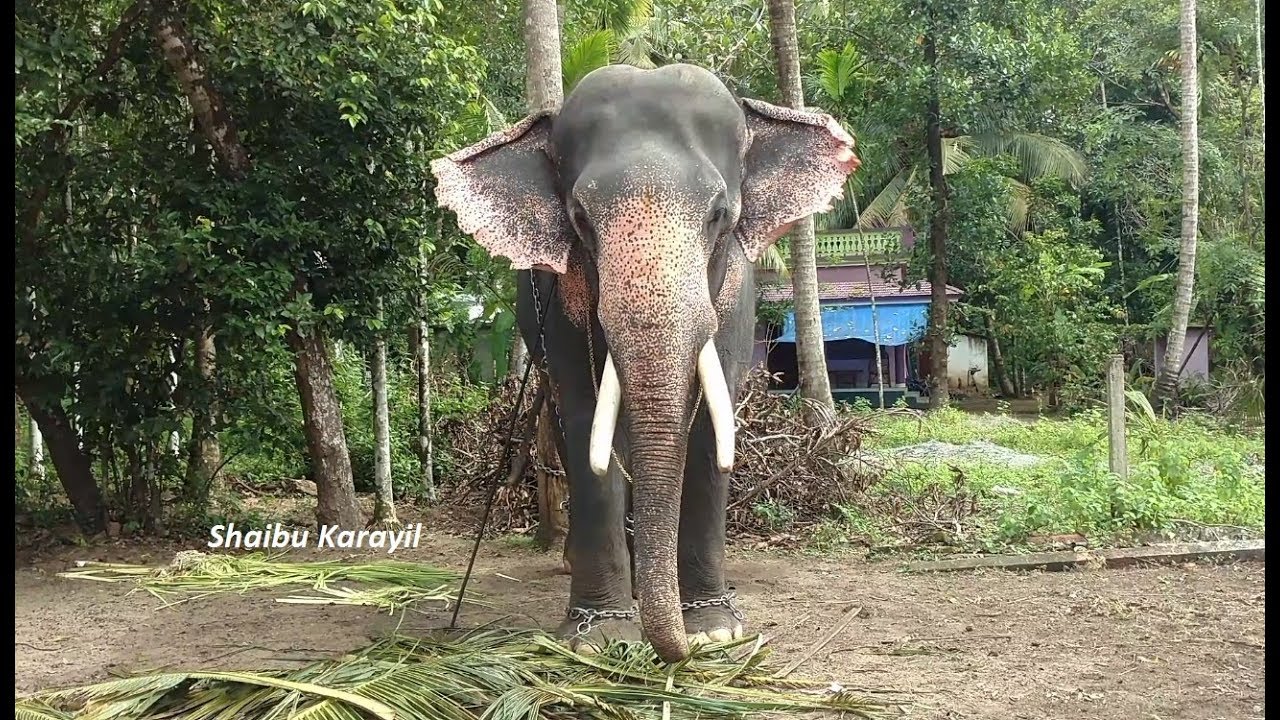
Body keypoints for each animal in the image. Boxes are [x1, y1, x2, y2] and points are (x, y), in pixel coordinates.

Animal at [431, 63, 859, 663]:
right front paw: (600, 638)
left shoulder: (735, 297)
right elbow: (588, 422)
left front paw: (713, 630)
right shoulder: (561, 303)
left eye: (719, 215)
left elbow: (711, 427)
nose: (675, 653)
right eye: (580, 218)